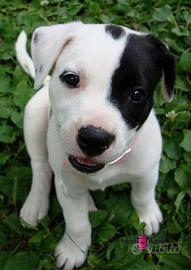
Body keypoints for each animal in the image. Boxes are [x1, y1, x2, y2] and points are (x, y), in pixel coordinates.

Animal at [15, 22, 175, 268]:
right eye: (71, 79)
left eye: (137, 94)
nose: (94, 138)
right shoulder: (68, 188)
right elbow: (77, 223)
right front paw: (73, 251)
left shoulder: (147, 170)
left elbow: (143, 194)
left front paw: (147, 216)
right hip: (34, 116)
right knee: (40, 165)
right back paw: (35, 204)